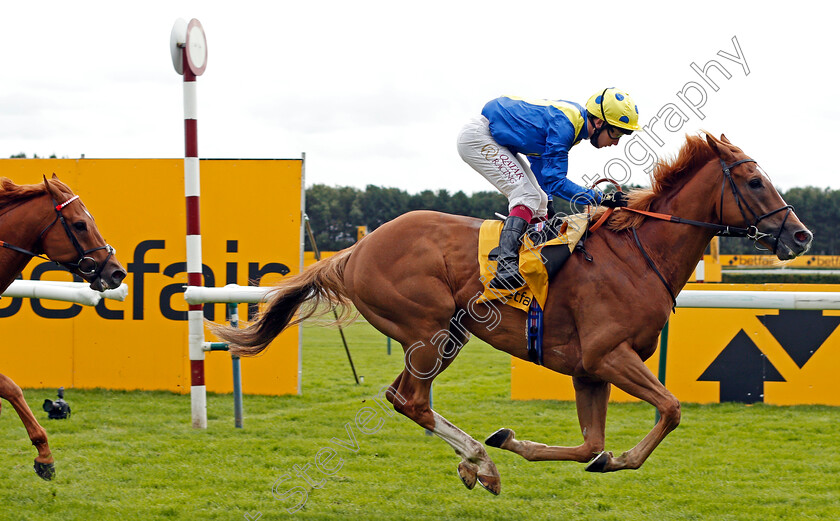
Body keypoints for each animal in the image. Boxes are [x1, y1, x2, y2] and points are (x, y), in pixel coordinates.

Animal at [0, 176, 125, 480]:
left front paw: (44, 455)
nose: (117, 272)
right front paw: (44, 455)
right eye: (80, 224)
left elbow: (11, 388)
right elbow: (9, 387)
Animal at [212, 132, 812, 494]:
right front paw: (616, 459)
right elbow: (671, 409)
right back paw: (480, 460)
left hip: (443, 334)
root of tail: (354, 251)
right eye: (754, 181)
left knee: (403, 398)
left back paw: (480, 457)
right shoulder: (609, 356)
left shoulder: (589, 370)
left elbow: (590, 444)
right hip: (431, 331)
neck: (637, 255)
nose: (801, 236)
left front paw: (538, 446)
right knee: (410, 400)